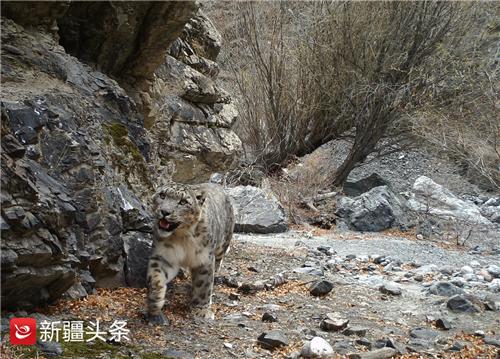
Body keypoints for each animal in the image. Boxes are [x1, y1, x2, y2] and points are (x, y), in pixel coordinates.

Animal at [146, 183, 233, 326]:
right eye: (162, 195)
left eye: (183, 202)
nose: (165, 212)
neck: (181, 236)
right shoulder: (164, 257)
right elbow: (156, 277)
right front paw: (155, 302)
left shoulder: (204, 259)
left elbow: (203, 285)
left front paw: (202, 310)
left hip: (223, 242)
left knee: (219, 260)